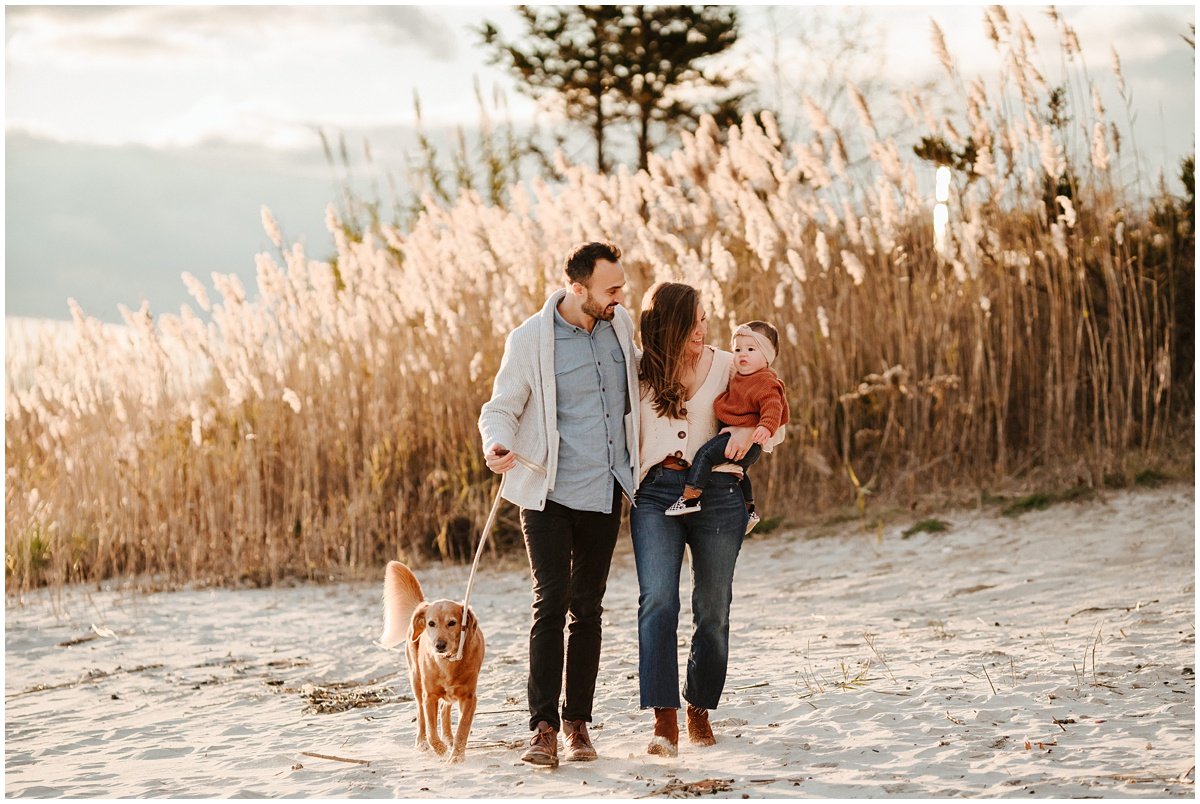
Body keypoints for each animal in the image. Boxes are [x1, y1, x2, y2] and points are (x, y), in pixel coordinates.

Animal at [379, 556, 482, 763]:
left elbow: (462, 729)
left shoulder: (469, 698)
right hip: (416, 680)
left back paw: (448, 739)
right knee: (421, 716)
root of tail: (422, 605)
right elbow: (431, 729)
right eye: (431, 623)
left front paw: (456, 756)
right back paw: (422, 742)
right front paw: (440, 749)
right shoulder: (430, 696)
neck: (448, 662)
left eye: (452, 622)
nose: (439, 645)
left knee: (444, 710)